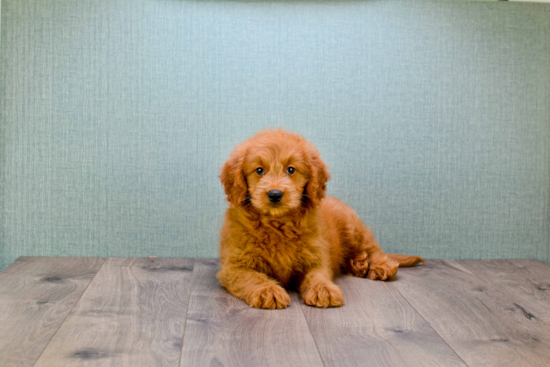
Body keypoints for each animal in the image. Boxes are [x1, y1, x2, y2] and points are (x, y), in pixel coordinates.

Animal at [218, 131, 424, 310]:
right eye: (259, 170)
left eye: (291, 170)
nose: (275, 194)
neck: (278, 223)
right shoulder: (234, 266)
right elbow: (253, 277)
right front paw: (268, 291)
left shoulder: (315, 257)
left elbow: (317, 274)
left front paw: (323, 289)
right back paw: (358, 264)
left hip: (353, 228)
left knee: (373, 248)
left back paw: (379, 265)